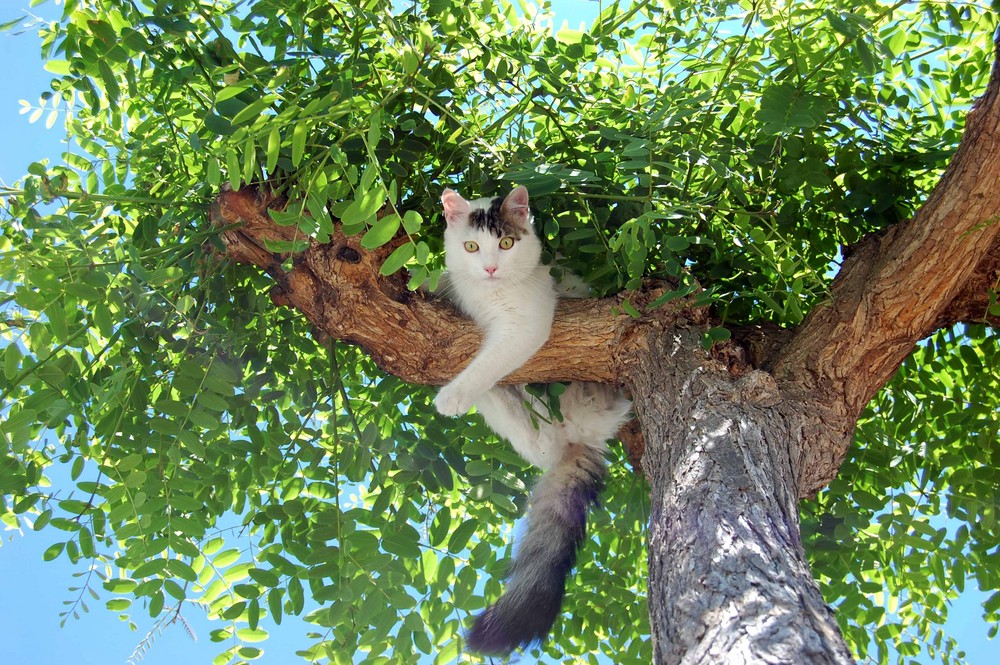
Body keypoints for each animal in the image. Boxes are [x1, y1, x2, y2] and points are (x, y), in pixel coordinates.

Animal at [434, 184, 628, 652]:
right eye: (471, 247)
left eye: (506, 244)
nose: (489, 268)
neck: (491, 296)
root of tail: (587, 437)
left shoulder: (525, 327)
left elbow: (488, 362)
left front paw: (451, 396)